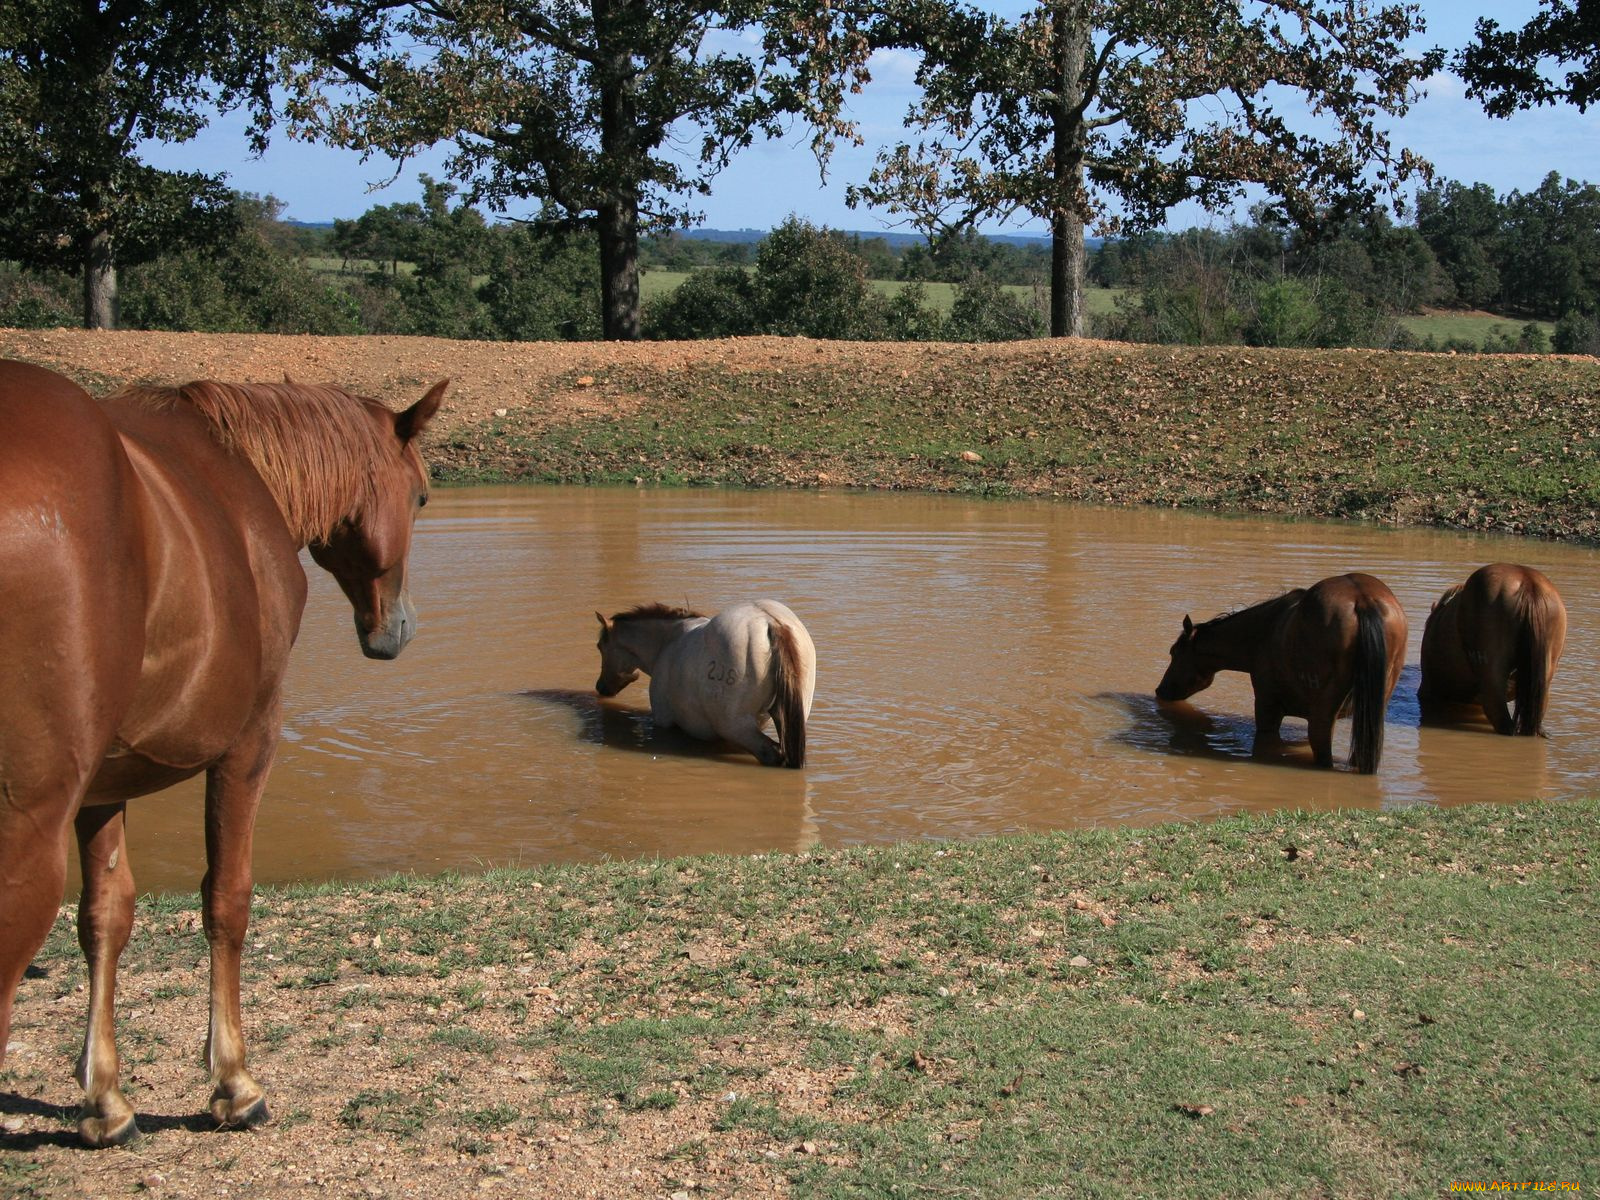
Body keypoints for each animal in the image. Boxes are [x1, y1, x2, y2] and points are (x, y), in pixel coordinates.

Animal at [0, 361, 444, 1152]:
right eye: (421, 495)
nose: (400, 627)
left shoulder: (101, 783)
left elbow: (105, 916)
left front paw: (105, 1098)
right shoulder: (250, 743)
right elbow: (227, 900)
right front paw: (235, 1083)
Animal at [595, 601, 819, 771]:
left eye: (600, 646)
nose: (600, 687)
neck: (666, 643)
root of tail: (771, 623)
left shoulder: (664, 722)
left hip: (736, 727)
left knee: (771, 753)